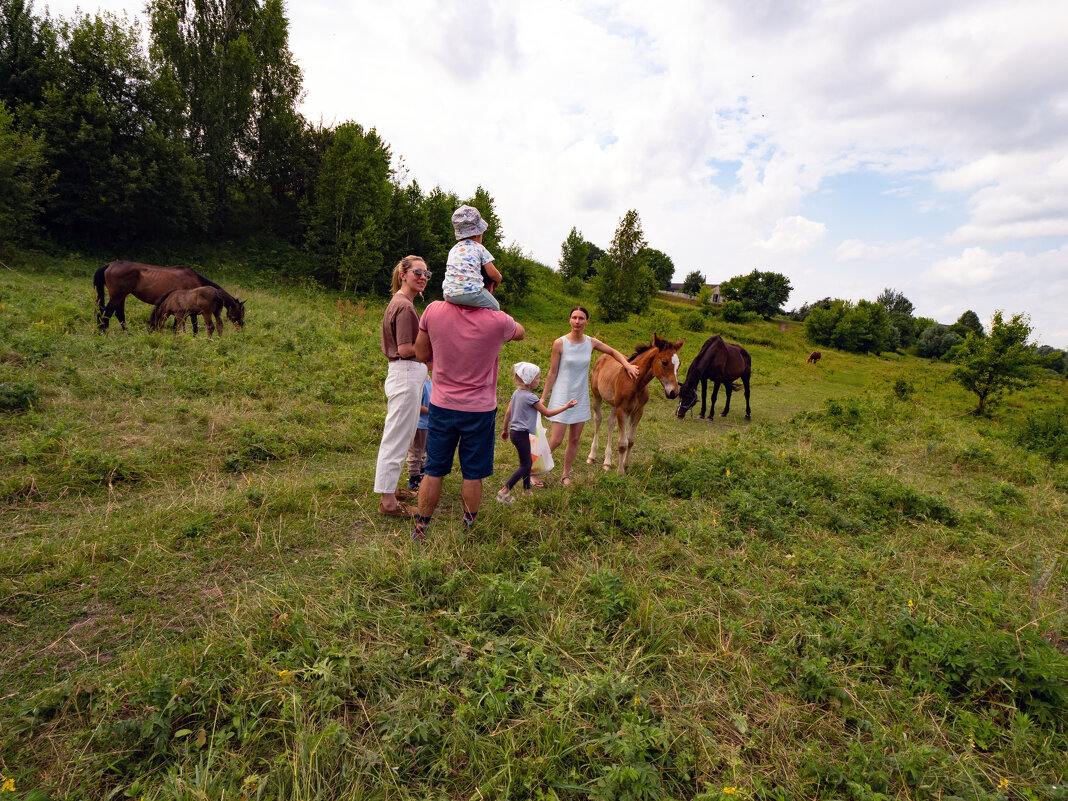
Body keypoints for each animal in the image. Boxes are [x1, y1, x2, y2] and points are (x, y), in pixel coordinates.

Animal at [93, 258, 231, 331]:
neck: (193, 279)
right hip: (117, 297)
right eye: (236, 311)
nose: (238, 327)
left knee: (119, 314)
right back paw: (104, 332)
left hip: (121, 297)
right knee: (107, 314)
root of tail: (110, 264)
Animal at [585, 333, 683, 474]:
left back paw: (607, 462)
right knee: (598, 419)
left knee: (610, 423)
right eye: (664, 362)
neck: (635, 383)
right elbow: (622, 443)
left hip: (614, 404)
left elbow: (630, 441)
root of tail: (603, 356)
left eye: (679, 364)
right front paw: (620, 472)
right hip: (597, 396)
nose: (674, 392)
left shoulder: (638, 411)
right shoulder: (623, 410)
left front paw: (626, 466)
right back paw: (591, 456)